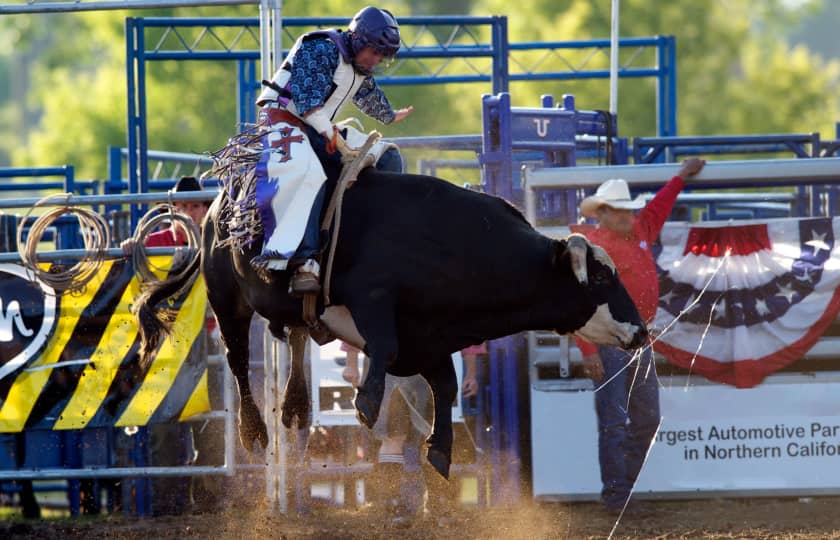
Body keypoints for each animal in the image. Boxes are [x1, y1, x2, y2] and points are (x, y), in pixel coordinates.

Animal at [135, 168, 648, 476]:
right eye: (601, 276)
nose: (641, 330)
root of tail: (218, 201)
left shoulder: (434, 338)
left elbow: (444, 386)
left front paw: (440, 449)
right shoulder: (375, 298)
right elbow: (384, 346)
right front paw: (366, 402)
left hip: (289, 308)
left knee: (297, 336)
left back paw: (297, 404)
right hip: (227, 294)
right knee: (238, 358)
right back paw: (254, 430)